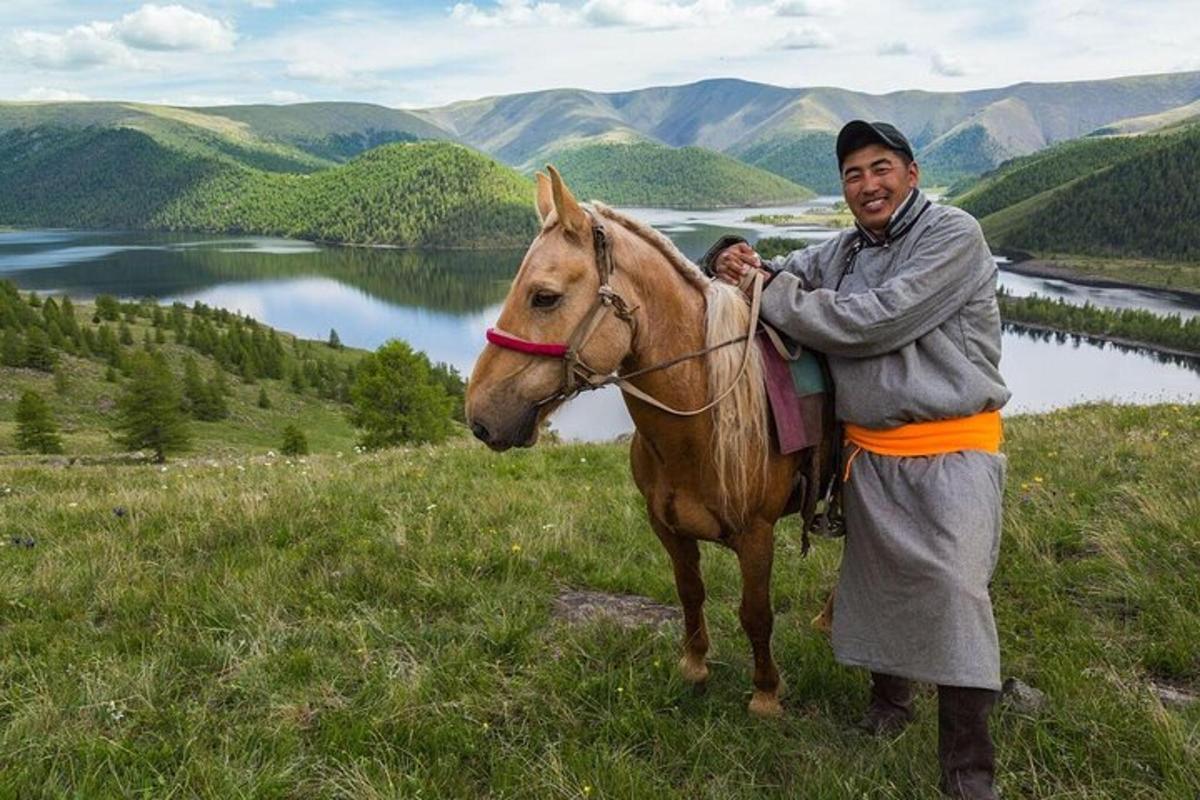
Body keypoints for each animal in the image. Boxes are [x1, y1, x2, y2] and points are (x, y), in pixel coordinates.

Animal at [465, 169, 835, 719]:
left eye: (544, 297)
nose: (480, 415)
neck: (699, 426)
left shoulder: (757, 536)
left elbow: (756, 613)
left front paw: (766, 692)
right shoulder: (666, 525)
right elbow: (690, 592)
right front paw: (694, 665)